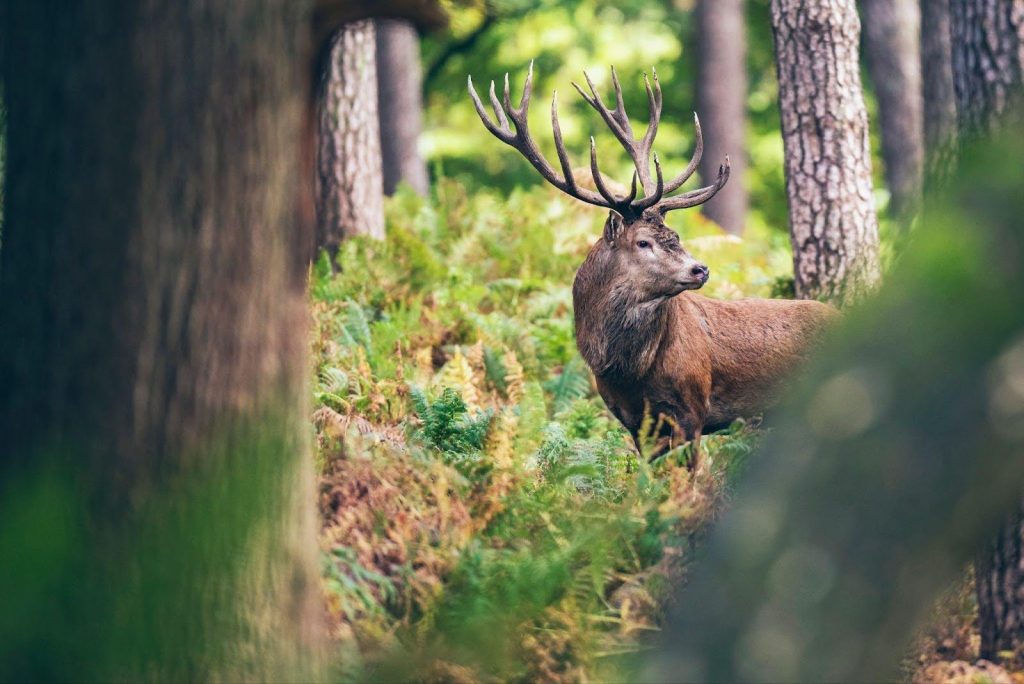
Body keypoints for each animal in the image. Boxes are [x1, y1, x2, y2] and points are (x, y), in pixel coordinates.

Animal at [468, 64, 837, 468]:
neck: (629, 373)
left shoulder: (692, 408)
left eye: (675, 235)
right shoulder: (633, 421)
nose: (700, 269)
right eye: (643, 242)